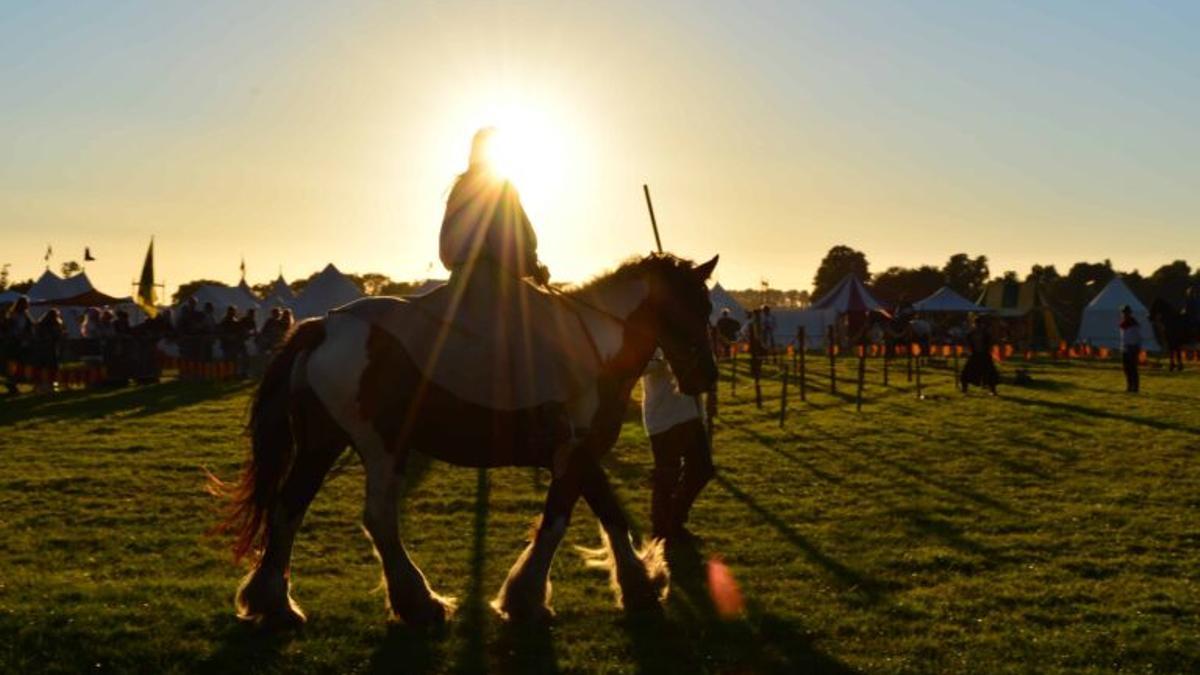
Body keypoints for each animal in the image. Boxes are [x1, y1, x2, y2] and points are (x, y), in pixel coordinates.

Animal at [212, 252, 715, 624]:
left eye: (708, 308)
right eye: (693, 308)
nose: (704, 377)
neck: (596, 345)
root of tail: (323, 326)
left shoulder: (581, 454)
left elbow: (609, 514)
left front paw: (639, 584)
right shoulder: (572, 451)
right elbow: (557, 522)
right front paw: (526, 598)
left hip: (321, 444)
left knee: (288, 508)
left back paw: (274, 602)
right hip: (381, 445)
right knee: (378, 518)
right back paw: (418, 601)